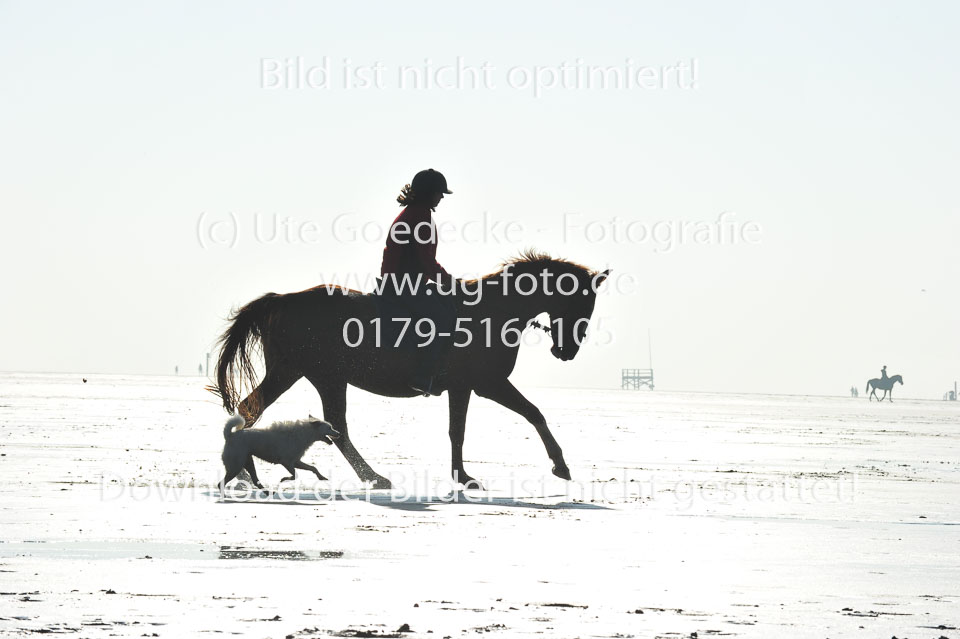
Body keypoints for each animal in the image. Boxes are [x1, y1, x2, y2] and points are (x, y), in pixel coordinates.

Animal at [211, 250, 612, 490]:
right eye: (583, 303)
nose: (567, 352)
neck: (494, 310)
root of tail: (282, 299)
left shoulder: (464, 387)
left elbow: (458, 431)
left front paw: (462, 475)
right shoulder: (488, 383)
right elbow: (533, 413)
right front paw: (560, 465)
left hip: (309, 375)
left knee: (272, 413)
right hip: (312, 374)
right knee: (292, 417)